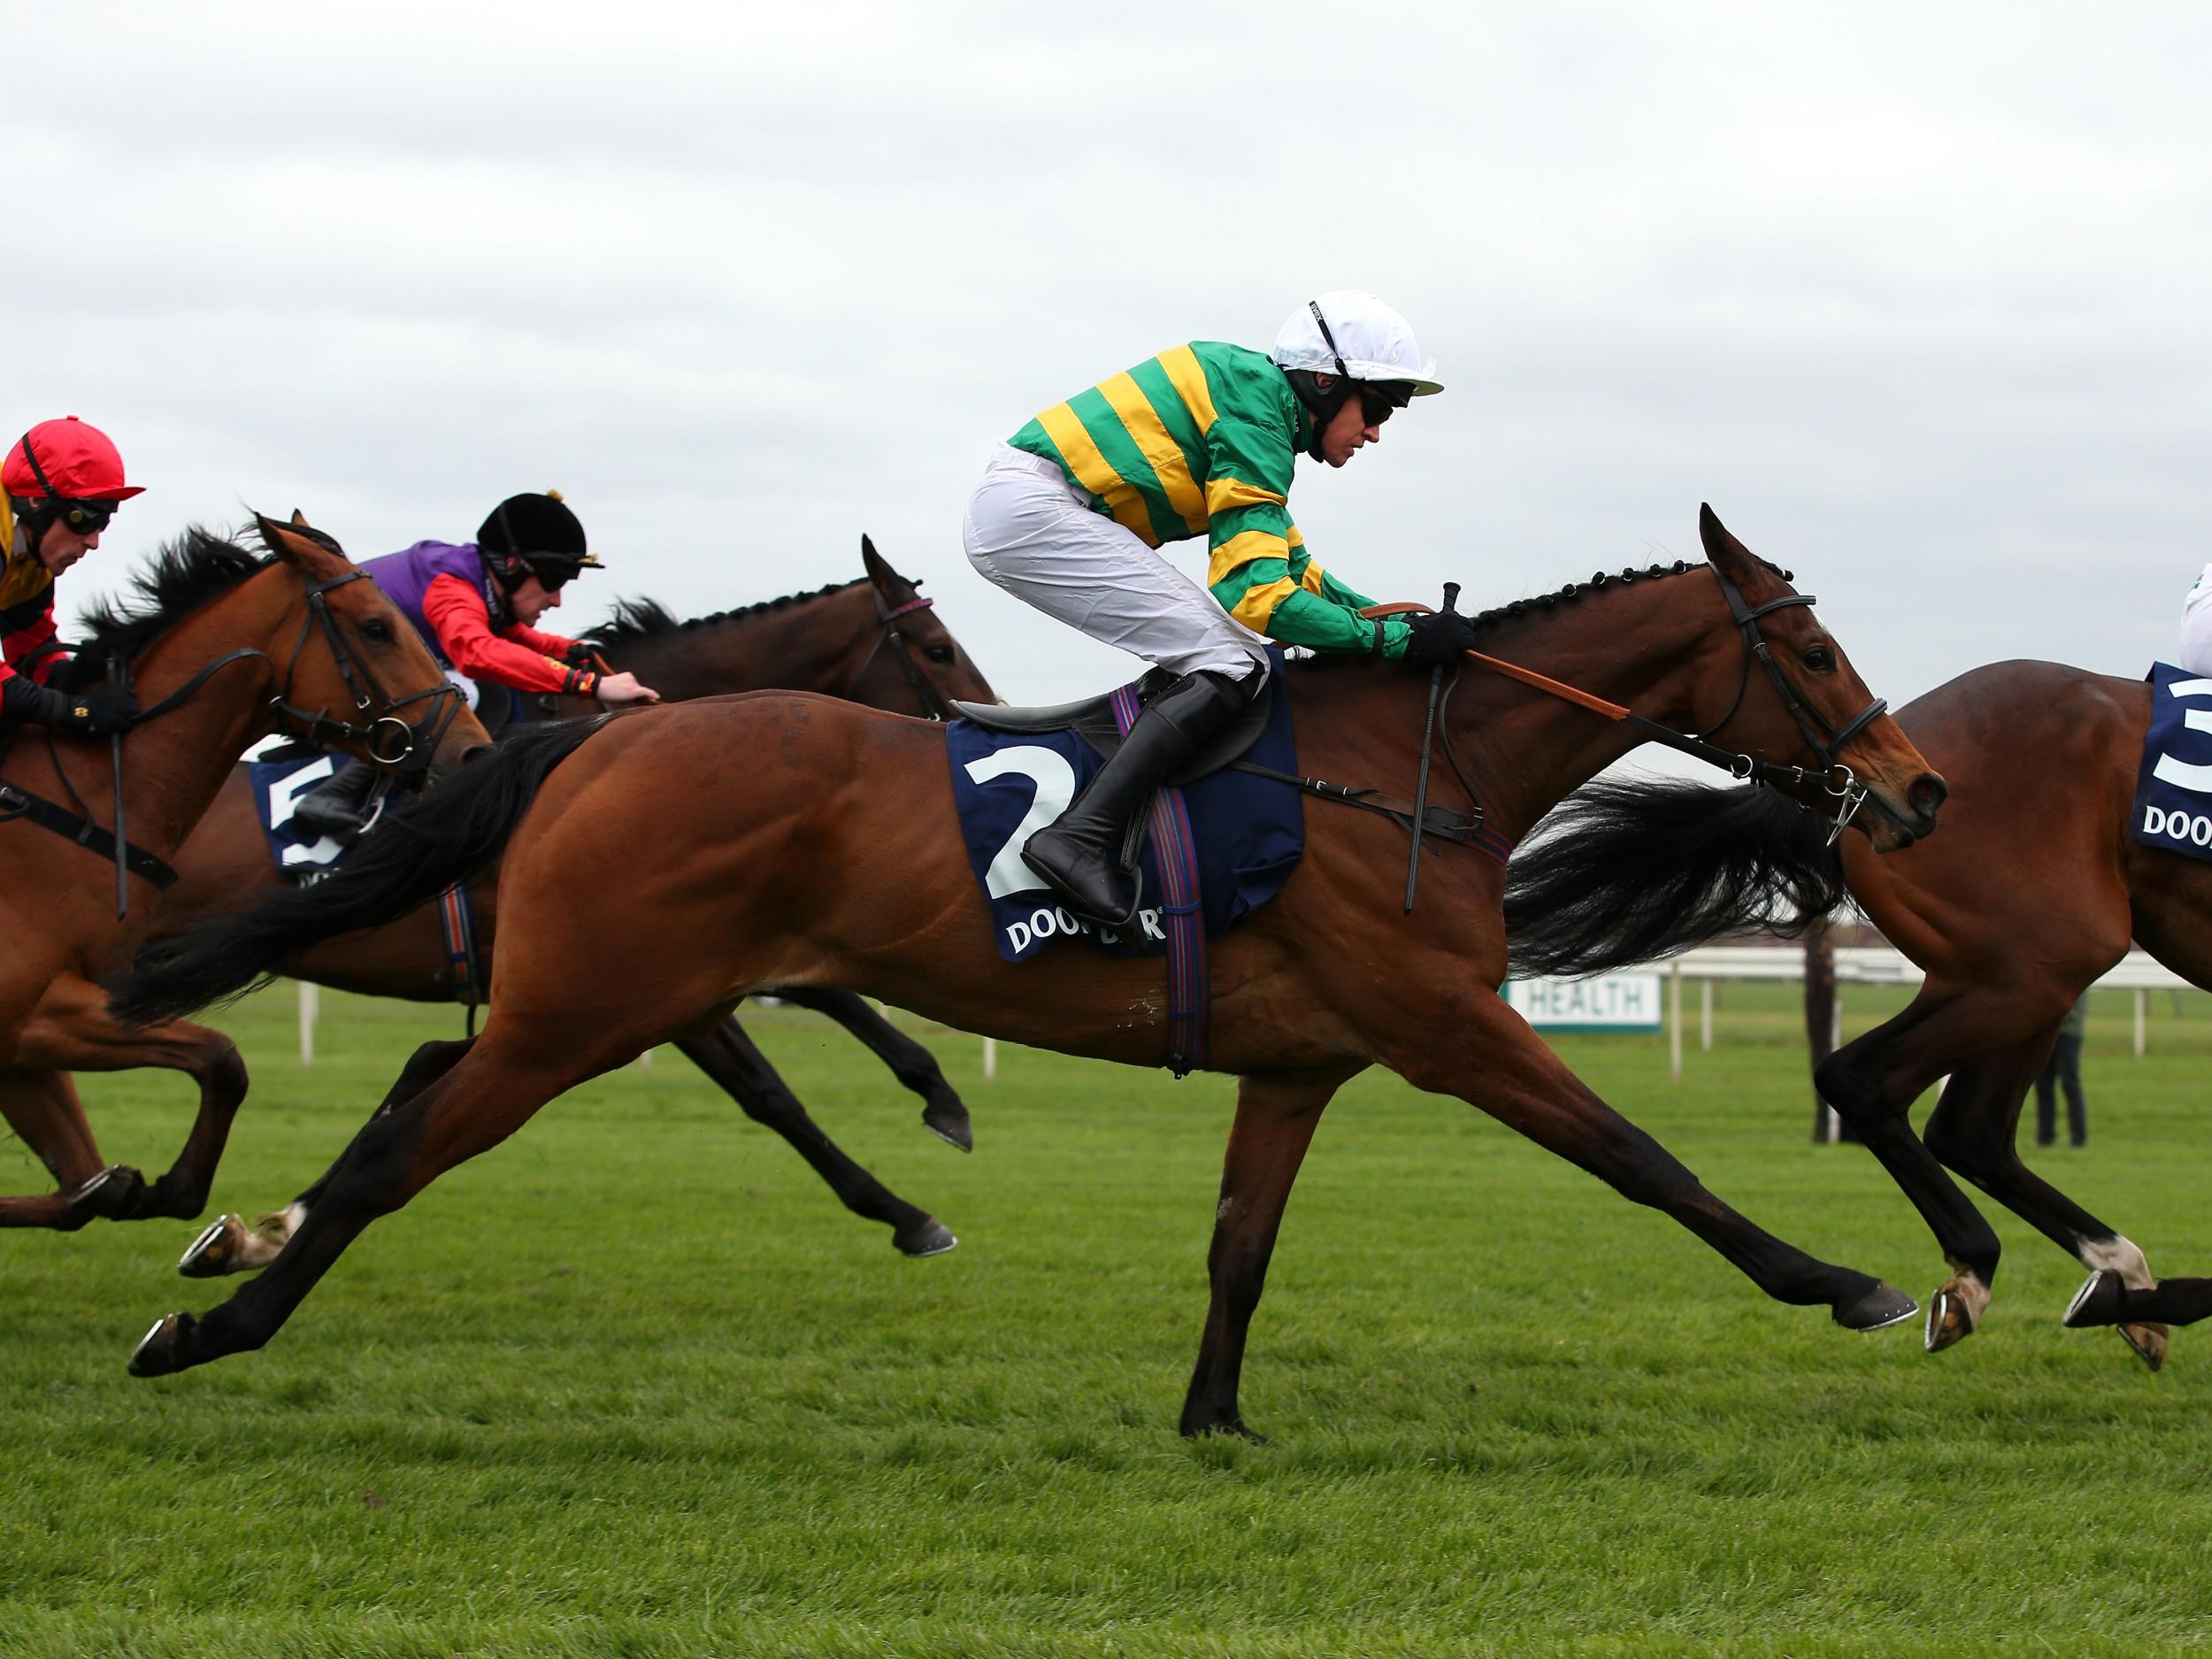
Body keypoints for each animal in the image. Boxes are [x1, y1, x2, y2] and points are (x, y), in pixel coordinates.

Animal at [0, 519, 484, 1239]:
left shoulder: (32, 1024)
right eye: (376, 627)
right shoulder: (34, 1011)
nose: (473, 752)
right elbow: (222, 1058)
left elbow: (89, 1189)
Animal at [1513, 655, 2212, 1371]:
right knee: (1872, 1083)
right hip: (2037, 962)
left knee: (1970, 1131)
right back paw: (2054, 1279)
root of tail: (1868, 782)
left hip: (2027, 977)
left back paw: (2112, 1277)